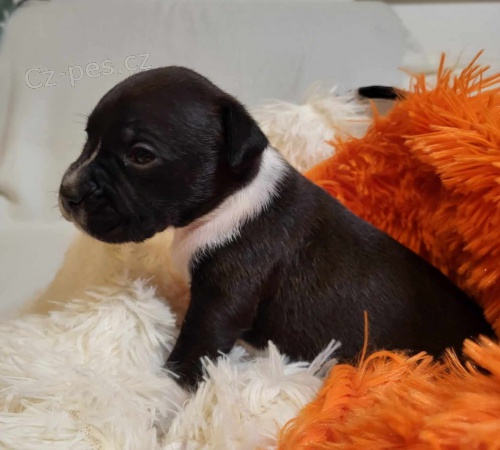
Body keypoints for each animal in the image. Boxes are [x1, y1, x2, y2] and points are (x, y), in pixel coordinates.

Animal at [59, 67, 494, 389]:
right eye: (87, 138)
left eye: (140, 155)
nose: (68, 193)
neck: (231, 196)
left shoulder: (220, 303)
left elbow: (191, 354)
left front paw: (165, 400)